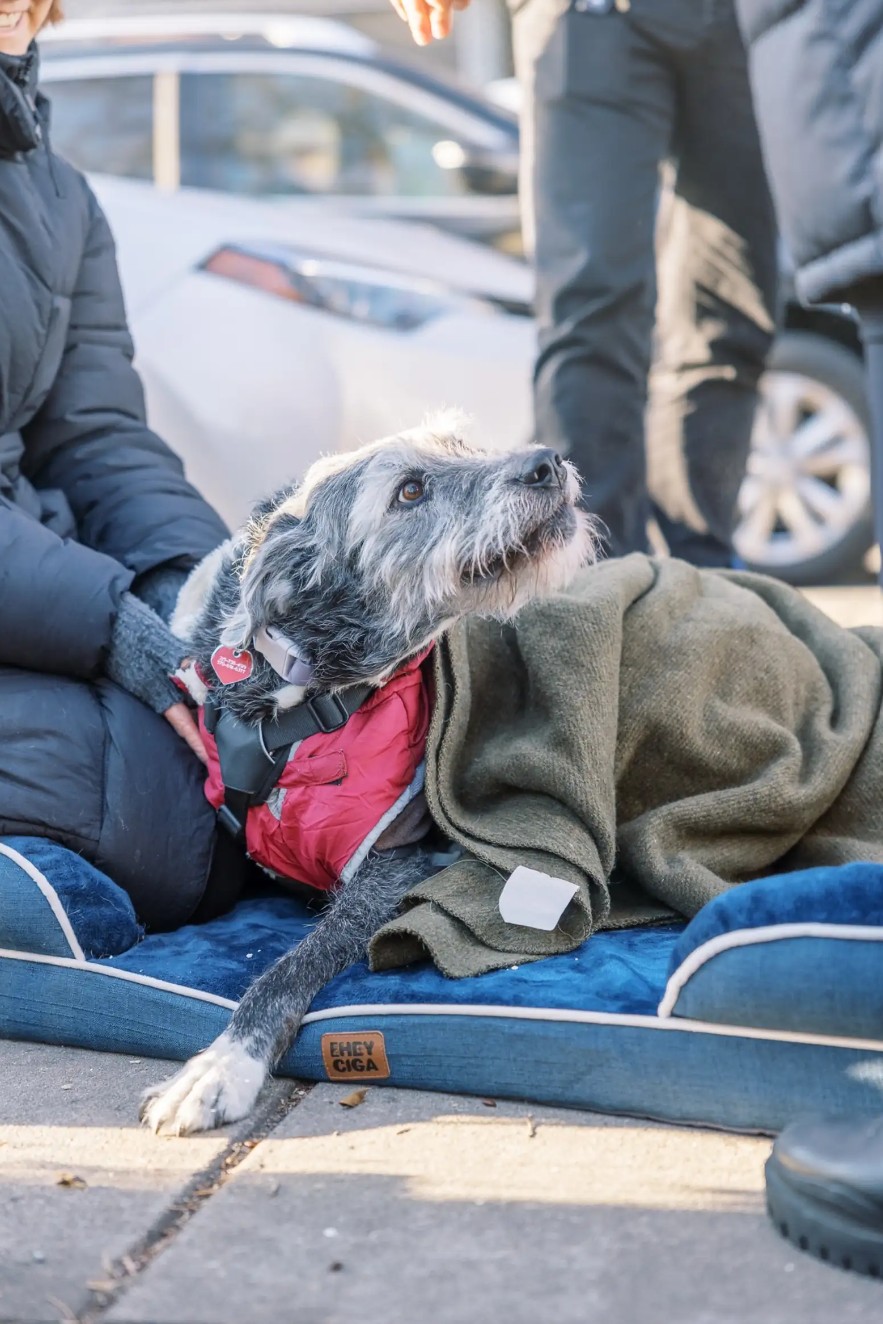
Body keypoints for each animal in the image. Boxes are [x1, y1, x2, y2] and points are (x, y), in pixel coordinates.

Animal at [139, 418, 593, 1133]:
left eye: (462, 445)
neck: (299, 699)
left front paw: (220, 1067)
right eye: (409, 491)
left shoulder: (392, 866)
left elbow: (288, 966)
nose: (546, 463)